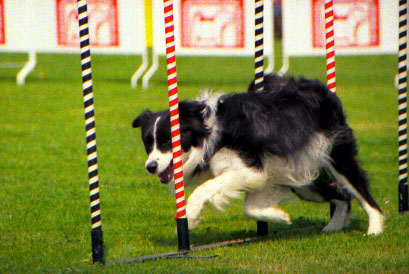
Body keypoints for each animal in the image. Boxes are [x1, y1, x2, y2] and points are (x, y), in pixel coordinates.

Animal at [133, 75, 382, 235]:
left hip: (335, 155)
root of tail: (321, 89)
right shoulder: (264, 175)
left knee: (360, 191)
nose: (150, 167)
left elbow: (206, 189)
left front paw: (191, 216)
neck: (208, 133)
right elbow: (250, 208)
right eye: (148, 143)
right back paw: (334, 226)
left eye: (167, 141)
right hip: (303, 176)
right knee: (342, 196)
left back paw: (375, 229)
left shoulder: (250, 168)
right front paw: (279, 215)